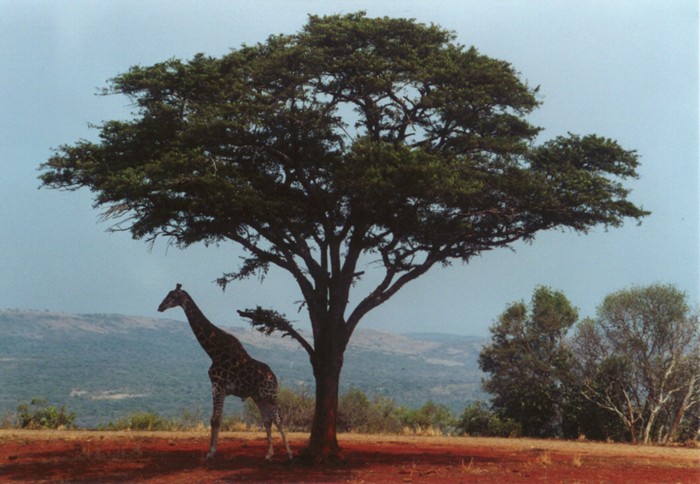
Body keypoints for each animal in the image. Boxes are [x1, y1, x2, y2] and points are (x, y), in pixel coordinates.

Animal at [157, 284, 292, 462]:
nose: (160, 307)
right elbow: (214, 419)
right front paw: (211, 451)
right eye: (167, 294)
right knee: (267, 420)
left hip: (270, 394)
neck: (213, 352)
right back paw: (269, 454)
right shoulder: (217, 387)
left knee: (278, 418)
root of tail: (274, 377)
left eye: (173, 296)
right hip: (258, 396)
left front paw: (211, 453)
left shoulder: (218, 386)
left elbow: (215, 420)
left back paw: (289, 453)